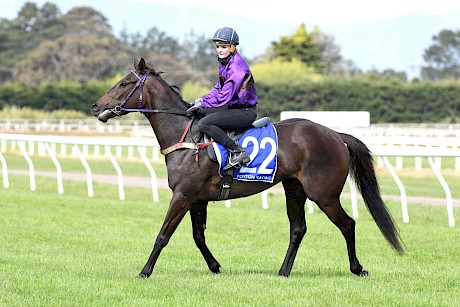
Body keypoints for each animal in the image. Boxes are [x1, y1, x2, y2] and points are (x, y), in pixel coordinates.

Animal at [91, 57, 404, 280]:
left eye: (123, 84)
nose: (95, 106)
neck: (186, 136)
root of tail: (337, 136)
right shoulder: (197, 198)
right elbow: (198, 236)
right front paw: (215, 266)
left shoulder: (182, 195)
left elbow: (162, 236)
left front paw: (144, 271)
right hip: (294, 189)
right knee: (298, 229)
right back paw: (283, 271)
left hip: (323, 194)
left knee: (348, 224)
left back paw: (357, 268)